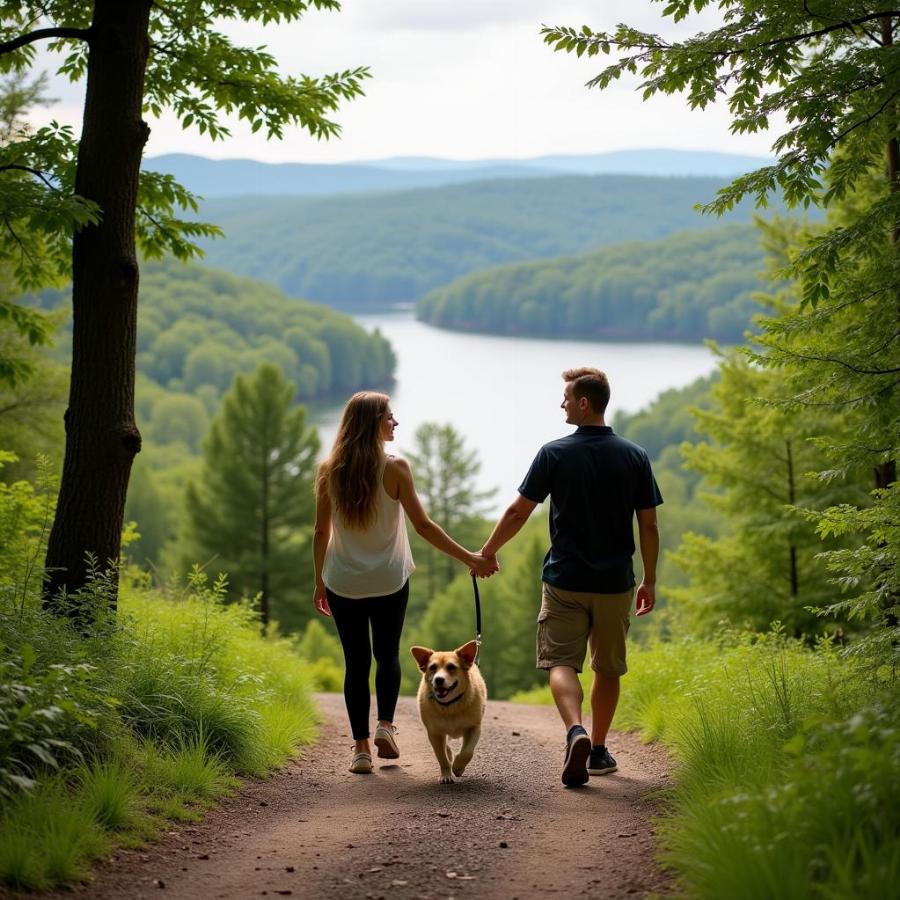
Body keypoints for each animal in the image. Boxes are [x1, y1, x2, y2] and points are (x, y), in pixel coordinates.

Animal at [412, 640, 488, 780]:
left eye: (451, 667)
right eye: (432, 667)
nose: (438, 679)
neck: (450, 705)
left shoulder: (474, 727)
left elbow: (467, 752)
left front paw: (458, 767)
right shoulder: (434, 732)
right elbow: (442, 757)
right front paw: (446, 775)